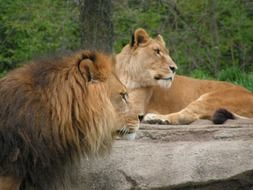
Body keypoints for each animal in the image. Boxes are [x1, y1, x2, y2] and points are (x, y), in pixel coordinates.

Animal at [116, 28, 253, 124]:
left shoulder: (135, 108)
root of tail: (249, 92)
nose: (174, 68)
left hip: (213, 98)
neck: (127, 77)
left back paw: (155, 119)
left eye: (167, 53)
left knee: (186, 116)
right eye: (157, 51)